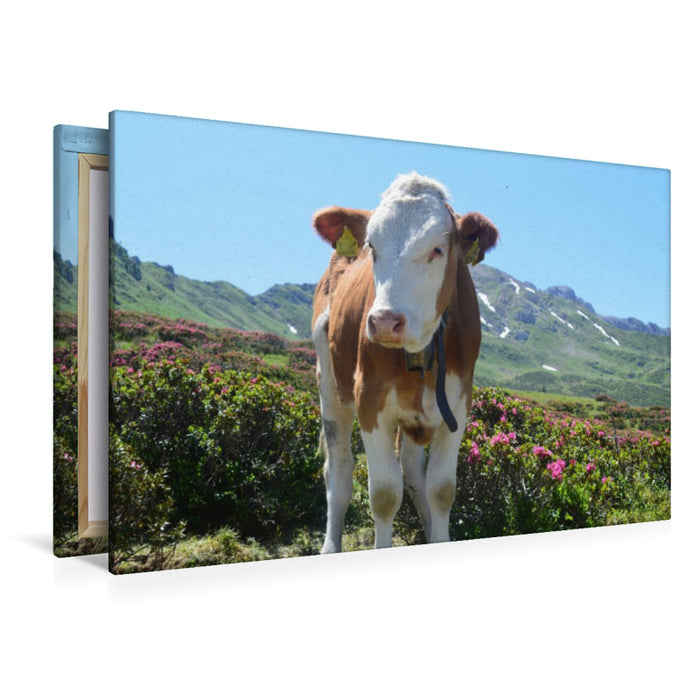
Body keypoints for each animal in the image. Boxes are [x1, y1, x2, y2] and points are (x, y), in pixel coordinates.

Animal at [311, 173, 498, 553]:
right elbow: (384, 495)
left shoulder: (457, 405)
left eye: (438, 249)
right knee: (338, 470)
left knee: (413, 471)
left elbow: (440, 491)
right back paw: (330, 545)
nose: (384, 322)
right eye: (372, 247)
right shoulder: (370, 402)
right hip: (330, 385)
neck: (421, 351)